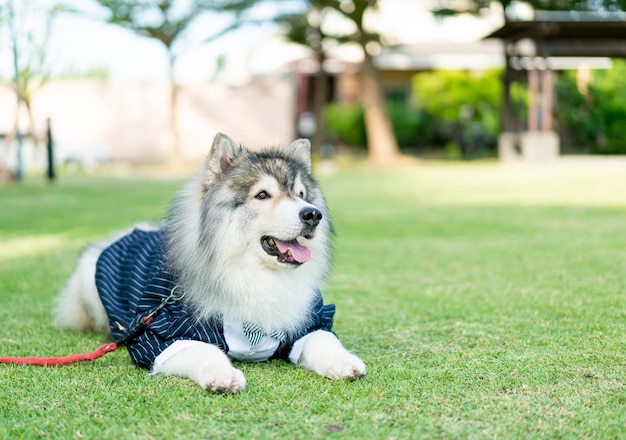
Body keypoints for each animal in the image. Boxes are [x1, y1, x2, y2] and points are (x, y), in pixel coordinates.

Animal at [55, 133, 366, 392]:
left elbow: (322, 340)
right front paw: (223, 375)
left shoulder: (312, 322)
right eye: (262, 195)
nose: (313, 215)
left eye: (301, 195)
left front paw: (344, 362)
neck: (253, 274)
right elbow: (202, 350)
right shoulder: (159, 333)